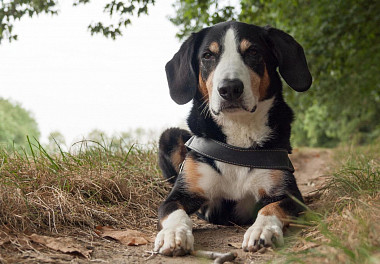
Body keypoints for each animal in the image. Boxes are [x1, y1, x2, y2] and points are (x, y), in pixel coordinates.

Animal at [154, 20, 312, 256]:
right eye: (208, 55)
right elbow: (173, 212)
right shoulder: (181, 194)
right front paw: (174, 234)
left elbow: (270, 208)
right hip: (169, 136)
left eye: (253, 52)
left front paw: (262, 230)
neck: (239, 136)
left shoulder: (288, 194)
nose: (229, 88)